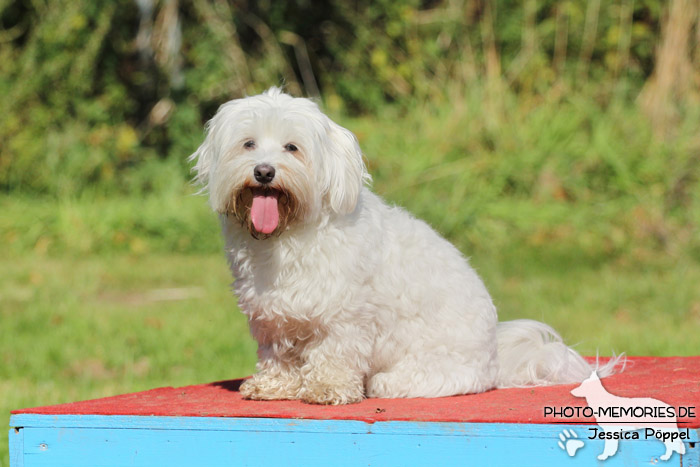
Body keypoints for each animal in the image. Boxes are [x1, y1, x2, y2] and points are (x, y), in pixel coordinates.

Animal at [190, 88, 616, 406]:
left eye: (292, 148)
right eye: (248, 144)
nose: (264, 171)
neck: (288, 237)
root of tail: (497, 362)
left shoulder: (345, 316)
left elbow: (334, 353)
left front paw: (327, 388)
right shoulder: (273, 315)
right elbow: (277, 353)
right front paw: (274, 385)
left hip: (421, 373)